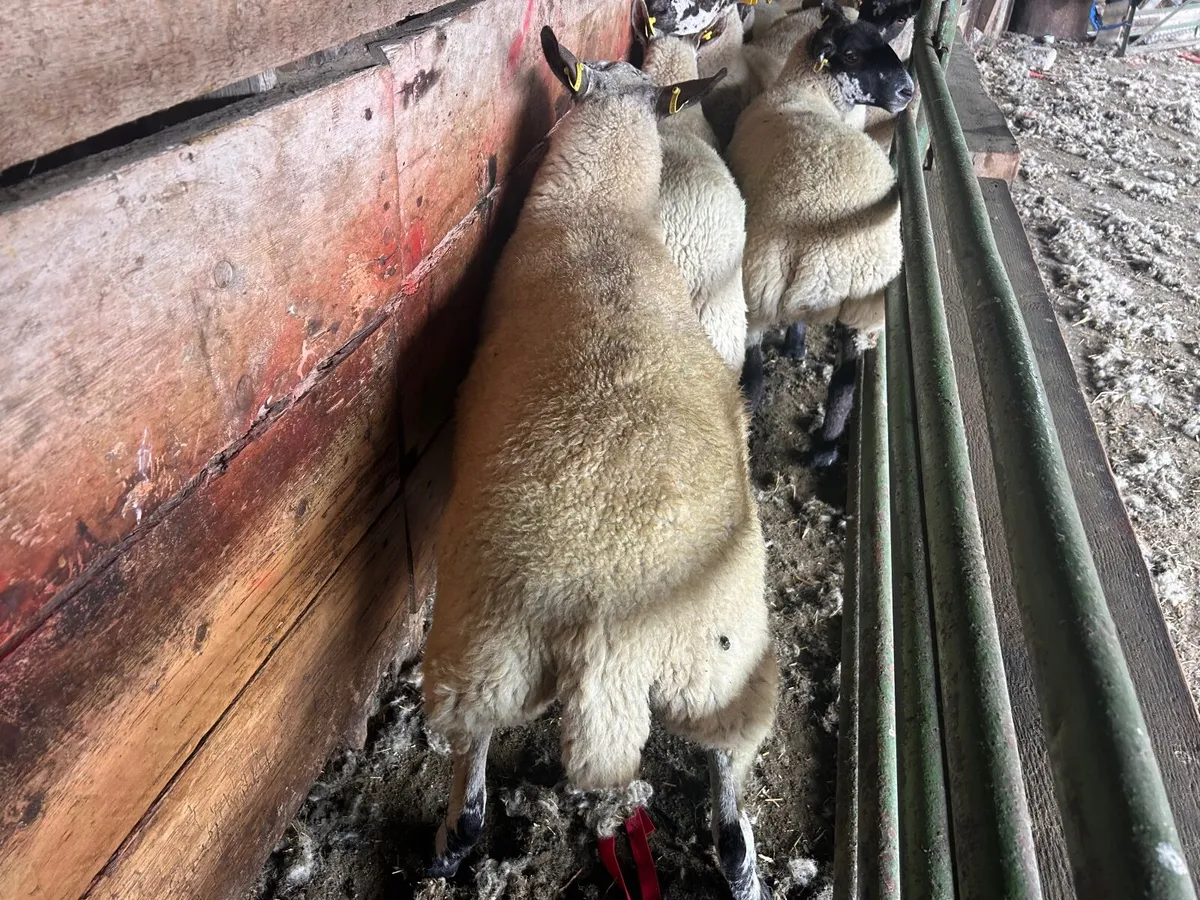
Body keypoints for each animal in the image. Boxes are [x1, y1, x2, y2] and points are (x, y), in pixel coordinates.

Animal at [727, 0, 913, 466]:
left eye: (885, 38)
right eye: (851, 55)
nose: (907, 91)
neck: (808, 90)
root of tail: (840, 256)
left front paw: (793, 347)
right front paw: (796, 348)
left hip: (758, 286)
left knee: (755, 372)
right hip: (862, 312)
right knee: (843, 383)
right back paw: (826, 447)